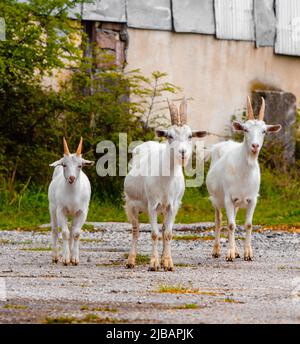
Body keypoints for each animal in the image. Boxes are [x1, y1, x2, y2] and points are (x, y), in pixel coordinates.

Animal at [48, 138, 94, 266]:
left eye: (80, 165)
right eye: (64, 165)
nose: (71, 178)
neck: (73, 194)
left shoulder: (82, 212)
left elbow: (76, 233)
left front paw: (74, 259)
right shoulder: (60, 210)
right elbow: (64, 233)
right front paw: (65, 258)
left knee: (72, 230)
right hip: (52, 208)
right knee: (55, 229)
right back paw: (55, 257)